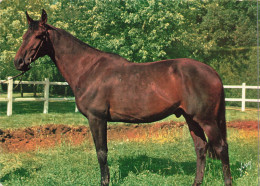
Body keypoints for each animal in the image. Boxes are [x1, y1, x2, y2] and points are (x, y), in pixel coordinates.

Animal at [13, 9, 232, 186]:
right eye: (24, 35)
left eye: (39, 36)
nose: (19, 62)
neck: (88, 69)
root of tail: (212, 72)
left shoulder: (97, 118)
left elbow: (101, 152)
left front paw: (105, 182)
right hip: (191, 118)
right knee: (201, 148)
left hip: (207, 120)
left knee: (221, 147)